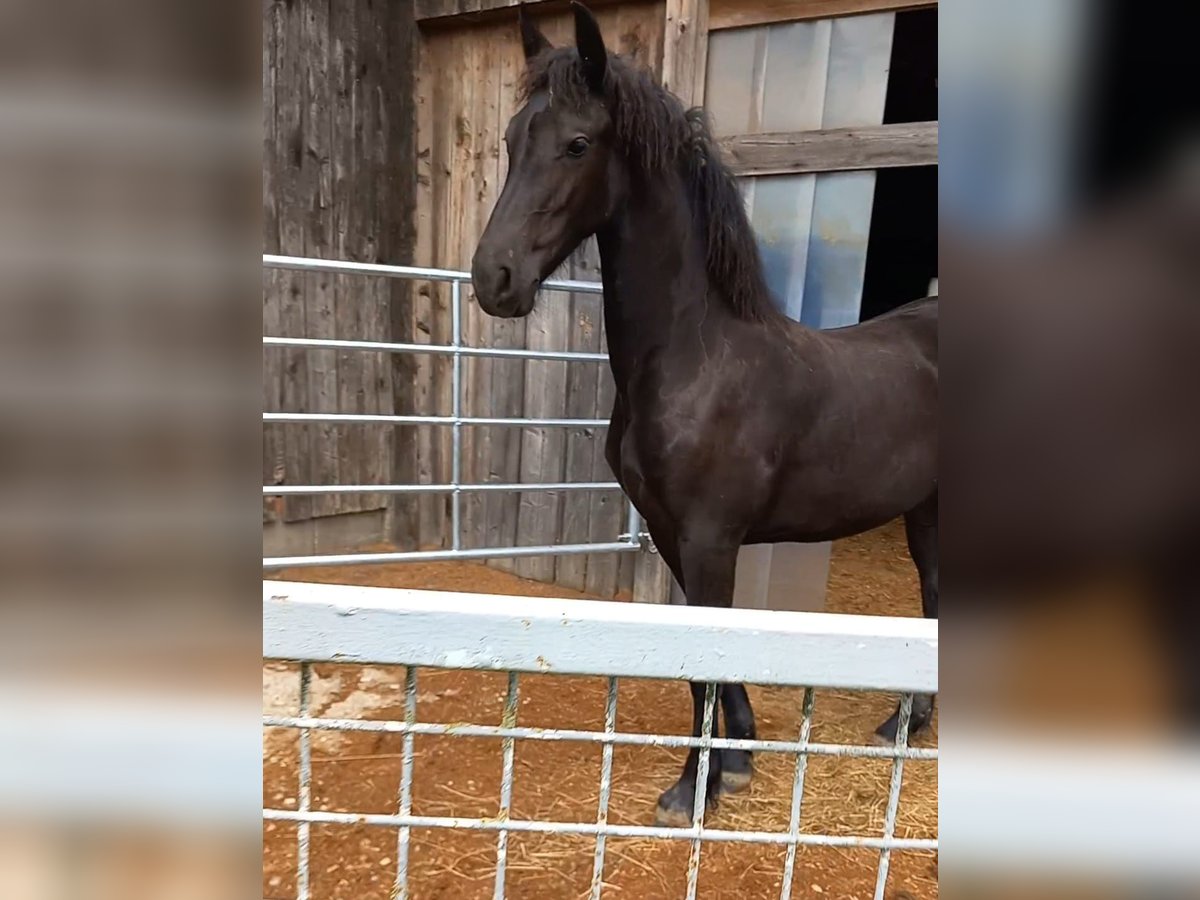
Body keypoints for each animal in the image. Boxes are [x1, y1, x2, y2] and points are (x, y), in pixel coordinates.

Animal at [468, 1, 936, 830]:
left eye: (577, 144)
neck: (697, 357)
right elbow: (704, 652)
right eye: (511, 139)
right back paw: (905, 723)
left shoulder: (712, 536)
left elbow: (707, 657)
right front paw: (739, 757)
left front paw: (694, 790)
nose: (495, 278)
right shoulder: (668, 530)